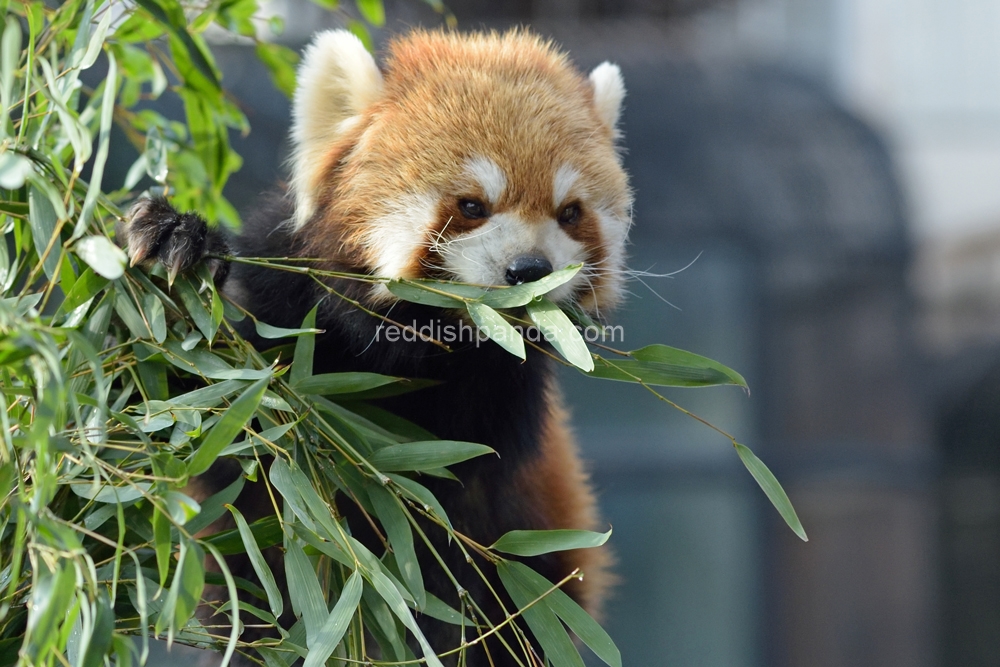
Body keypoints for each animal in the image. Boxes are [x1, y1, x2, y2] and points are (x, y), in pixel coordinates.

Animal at [123, 27, 632, 667]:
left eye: (569, 213)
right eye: (472, 206)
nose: (529, 271)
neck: (409, 343)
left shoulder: (498, 405)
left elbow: (441, 478)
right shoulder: (281, 301)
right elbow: (209, 418)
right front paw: (176, 244)